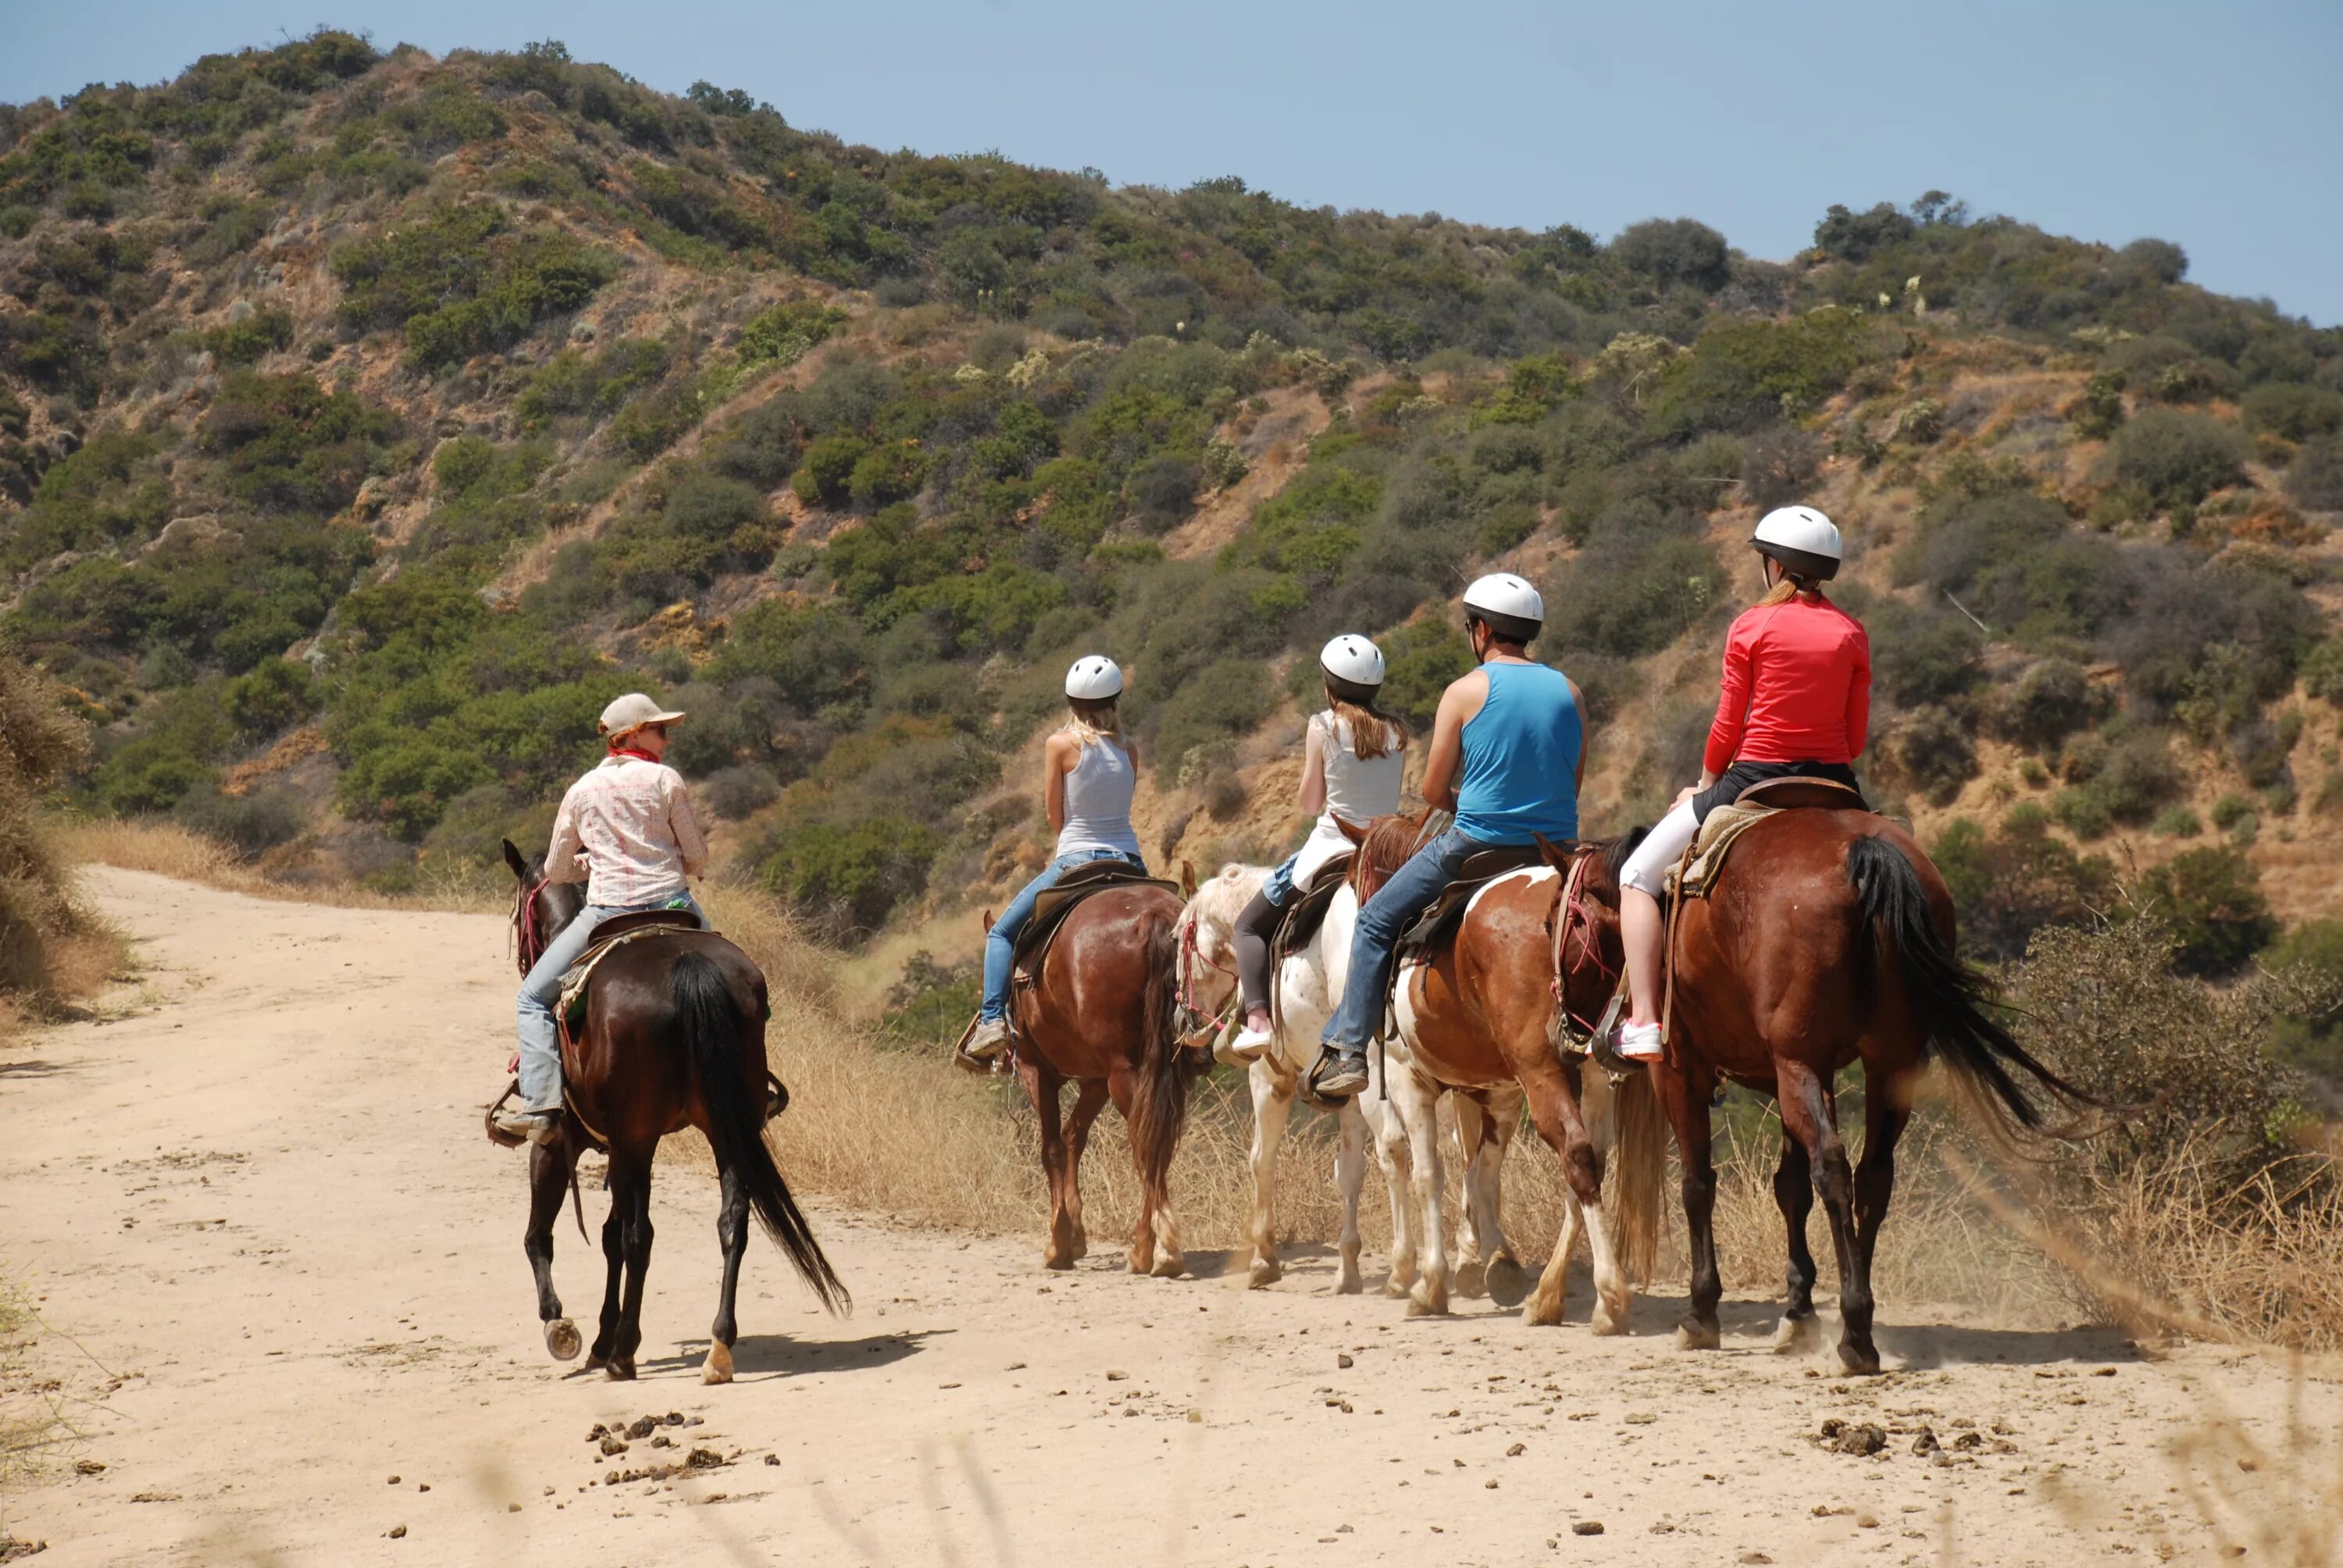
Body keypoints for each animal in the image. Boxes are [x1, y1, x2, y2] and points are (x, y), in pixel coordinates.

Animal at [499, 843, 848, 1377]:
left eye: (519, 913)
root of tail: (686, 963)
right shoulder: (621, 1148)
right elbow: (608, 1236)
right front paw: (599, 1335)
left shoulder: (562, 1143)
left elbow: (543, 1235)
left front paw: (563, 1327)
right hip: (723, 1129)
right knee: (732, 1222)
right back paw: (718, 1347)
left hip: (638, 1139)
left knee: (639, 1236)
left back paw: (625, 1353)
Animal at [993, 881, 1200, 1274]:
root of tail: (1152, 916)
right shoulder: (1095, 1080)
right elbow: (1074, 1136)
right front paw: (1075, 1234)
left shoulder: (1034, 1069)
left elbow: (1052, 1148)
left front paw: (1058, 1244)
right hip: (1154, 1071)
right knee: (1157, 1142)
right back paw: (1160, 1244)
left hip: (1122, 1072)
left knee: (1145, 1143)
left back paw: (1149, 1248)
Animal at [1350, 815, 1678, 1331]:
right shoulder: (1501, 1092)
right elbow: (1481, 1174)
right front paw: (1497, 1263)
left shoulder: (1409, 1081)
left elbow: (1430, 1176)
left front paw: (1432, 1284)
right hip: (1593, 1078)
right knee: (1588, 1163)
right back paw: (1549, 1295)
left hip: (1542, 1073)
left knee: (1577, 1155)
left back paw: (1608, 1294)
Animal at [1621, 806, 2099, 1368]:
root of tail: (1863, 852)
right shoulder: (1801, 1075)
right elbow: (1790, 1187)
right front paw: (1797, 1313)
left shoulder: (1682, 1070)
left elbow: (1699, 1184)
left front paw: (1701, 1312)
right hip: (1886, 1064)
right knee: (1872, 1175)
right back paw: (1860, 1327)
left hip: (1798, 1063)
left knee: (1832, 1166)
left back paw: (1853, 1331)